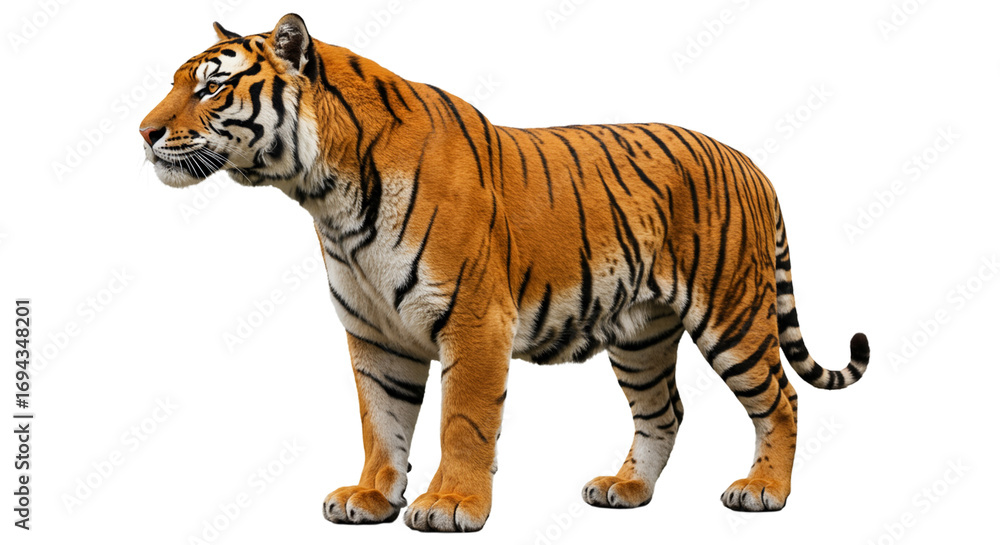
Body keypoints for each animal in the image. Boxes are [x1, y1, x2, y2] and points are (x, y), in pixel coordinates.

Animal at [140, 13, 870, 532]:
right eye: (177, 82)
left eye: (211, 86)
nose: (144, 132)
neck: (324, 192)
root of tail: (752, 163)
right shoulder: (373, 334)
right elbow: (381, 421)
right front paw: (371, 496)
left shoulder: (472, 317)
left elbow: (462, 419)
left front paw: (449, 504)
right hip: (641, 334)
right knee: (665, 410)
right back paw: (626, 489)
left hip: (733, 314)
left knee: (781, 399)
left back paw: (764, 491)